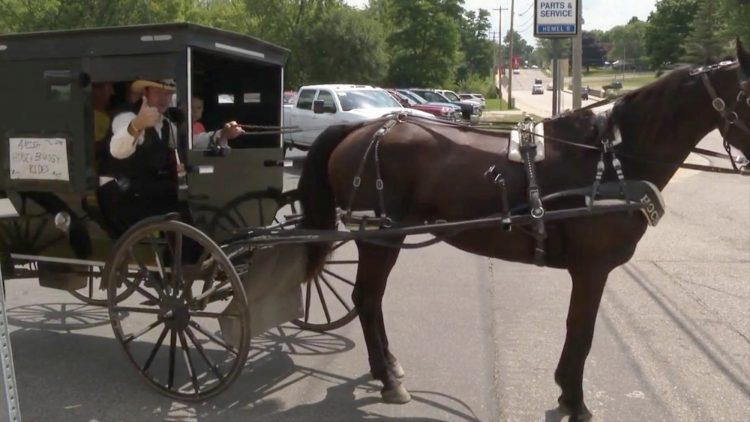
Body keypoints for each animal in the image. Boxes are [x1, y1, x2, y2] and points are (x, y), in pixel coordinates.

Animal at [296, 42, 748, 418]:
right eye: (748, 94)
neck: (611, 162)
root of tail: (362, 129)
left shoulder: (590, 270)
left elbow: (578, 331)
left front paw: (567, 392)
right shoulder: (592, 269)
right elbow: (581, 331)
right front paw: (574, 400)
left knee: (370, 299)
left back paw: (388, 368)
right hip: (380, 234)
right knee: (367, 298)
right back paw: (388, 380)